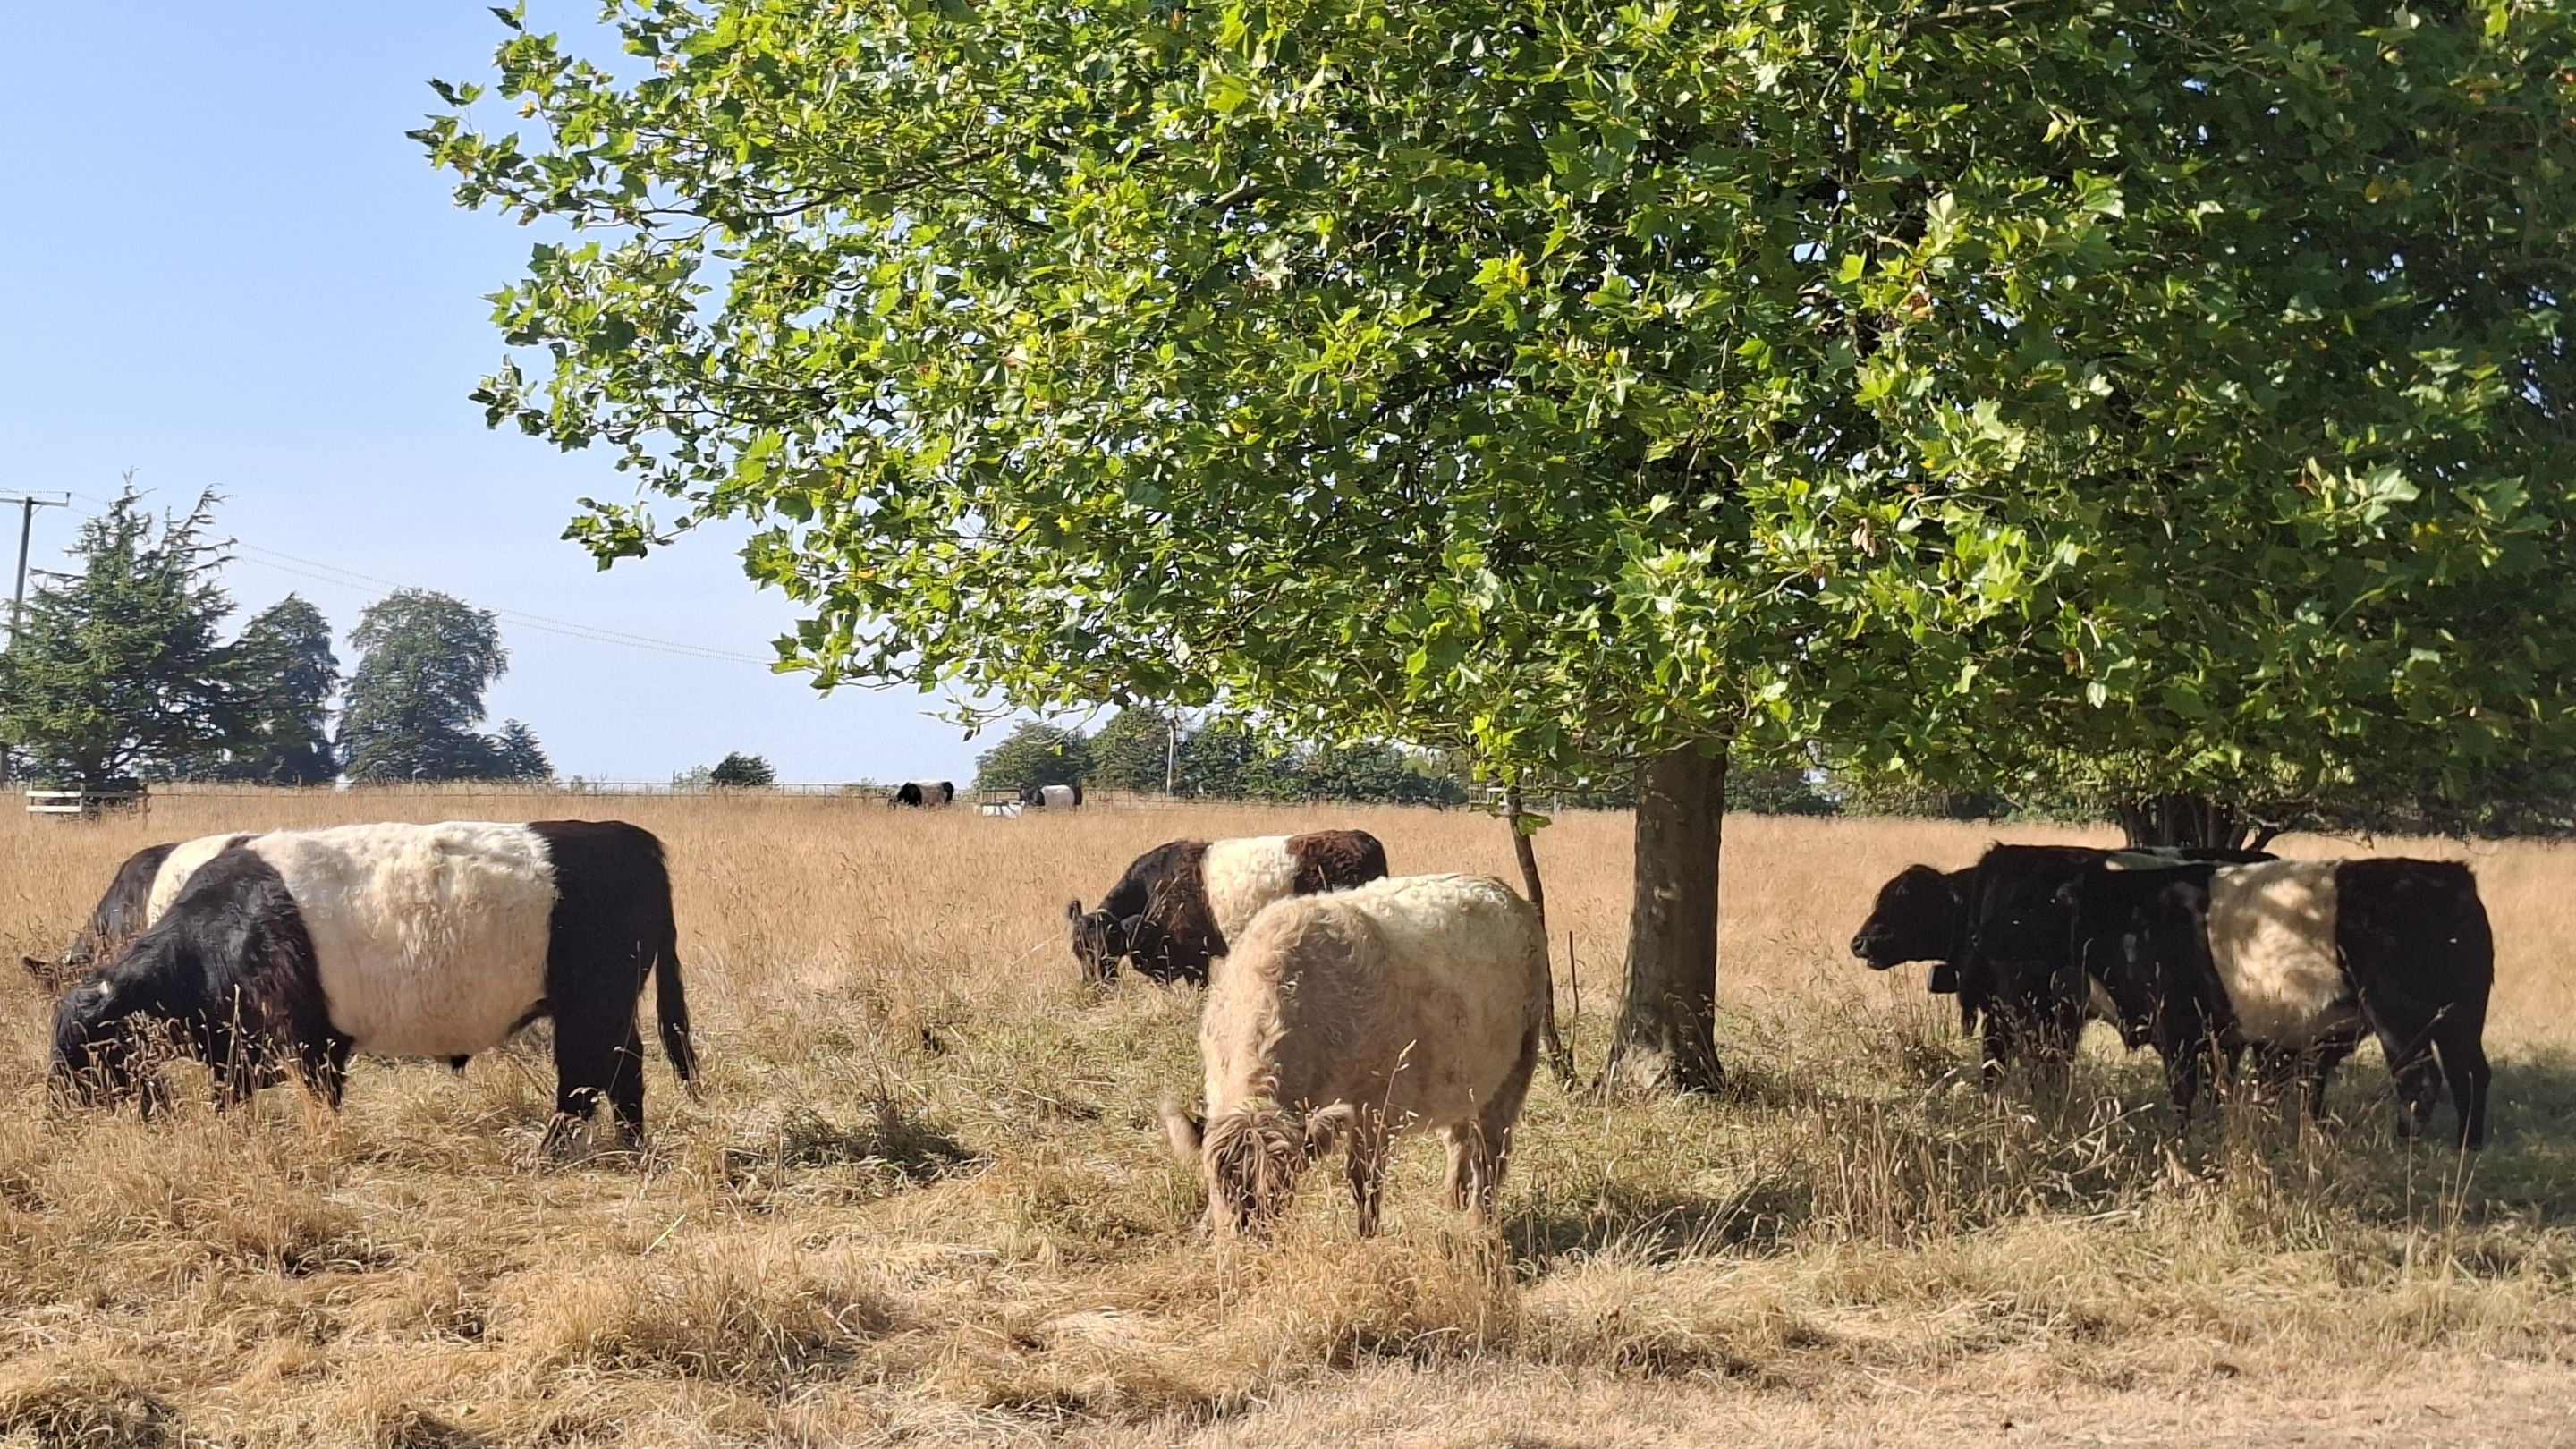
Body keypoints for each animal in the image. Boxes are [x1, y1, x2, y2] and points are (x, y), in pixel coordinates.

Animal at [51, 819, 698, 1150]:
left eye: (79, 1048)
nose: (59, 1109)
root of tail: (629, 835)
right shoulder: (240, 1049)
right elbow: (229, 1100)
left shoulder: (308, 1042)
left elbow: (319, 1106)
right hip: (610, 1007)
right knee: (626, 1070)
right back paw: (629, 1143)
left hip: (590, 1006)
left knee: (584, 1082)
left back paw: (551, 1154)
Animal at [1159, 873, 1550, 1237]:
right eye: (1216, 1188)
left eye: (1279, 1192)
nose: (1245, 1243)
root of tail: (1503, 889)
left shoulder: (1375, 1104)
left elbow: (1364, 1179)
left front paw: (1366, 1237)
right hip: (1466, 1072)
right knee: (1459, 1135)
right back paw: (1452, 1199)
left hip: (1521, 1056)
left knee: (1491, 1148)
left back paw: (1478, 1223)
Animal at [2067, 858, 2493, 1147]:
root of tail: (2449, 876)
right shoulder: (2228, 1037)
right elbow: (2220, 1090)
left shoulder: (2181, 1030)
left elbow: (2186, 1092)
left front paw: (2183, 1141)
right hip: (2461, 1019)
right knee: (2470, 1074)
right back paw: (2466, 1148)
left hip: (2400, 1017)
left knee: (2420, 1081)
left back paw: (2401, 1147)